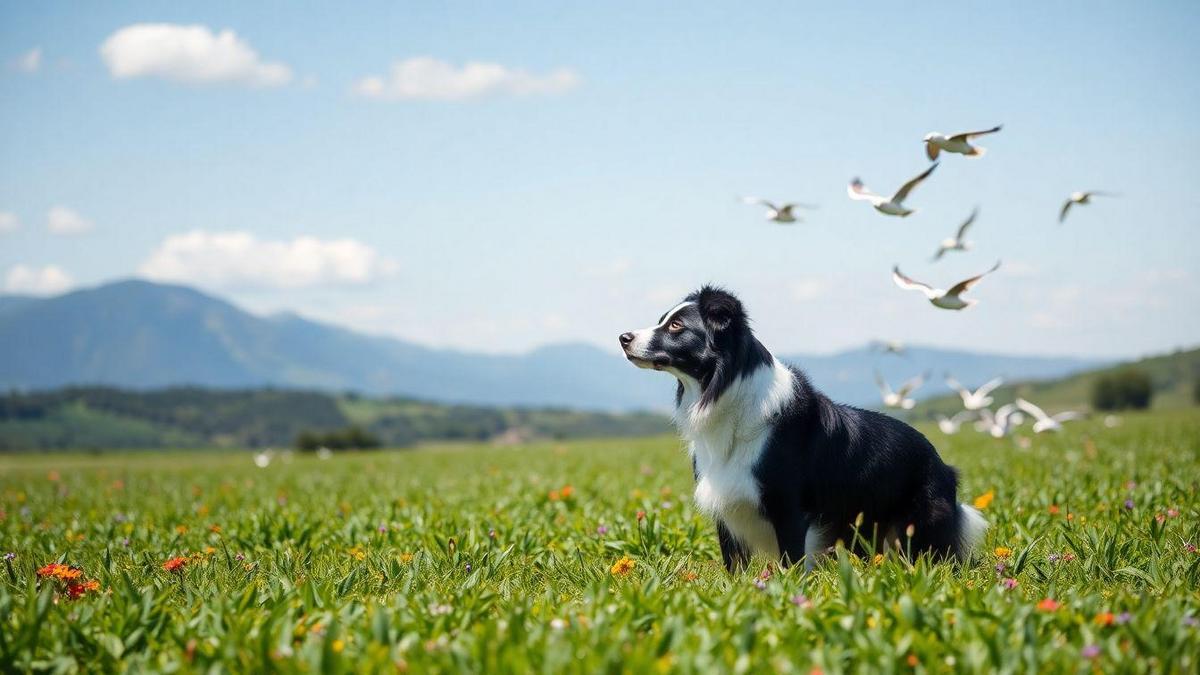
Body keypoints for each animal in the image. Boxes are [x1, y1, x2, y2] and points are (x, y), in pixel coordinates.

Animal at [619, 285, 984, 569]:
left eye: (676, 325)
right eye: (664, 319)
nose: (623, 337)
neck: (722, 391)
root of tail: (943, 465)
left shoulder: (789, 509)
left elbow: (791, 564)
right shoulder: (725, 506)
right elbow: (733, 567)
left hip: (920, 529)